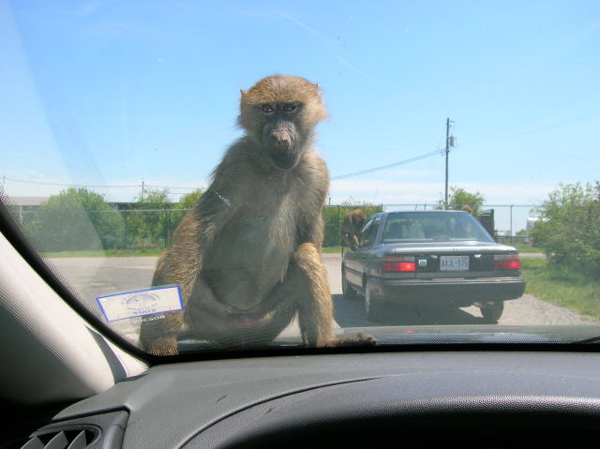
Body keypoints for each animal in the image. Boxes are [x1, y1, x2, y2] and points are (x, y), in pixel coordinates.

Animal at [141, 73, 376, 354]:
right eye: (267, 110)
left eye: (289, 108)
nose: (279, 137)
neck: (276, 169)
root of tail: (243, 332)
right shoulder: (236, 162)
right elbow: (197, 230)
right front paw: (160, 341)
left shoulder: (317, 171)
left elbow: (309, 235)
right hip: (214, 318)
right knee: (174, 257)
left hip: (272, 317)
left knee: (306, 255)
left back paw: (323, 341)